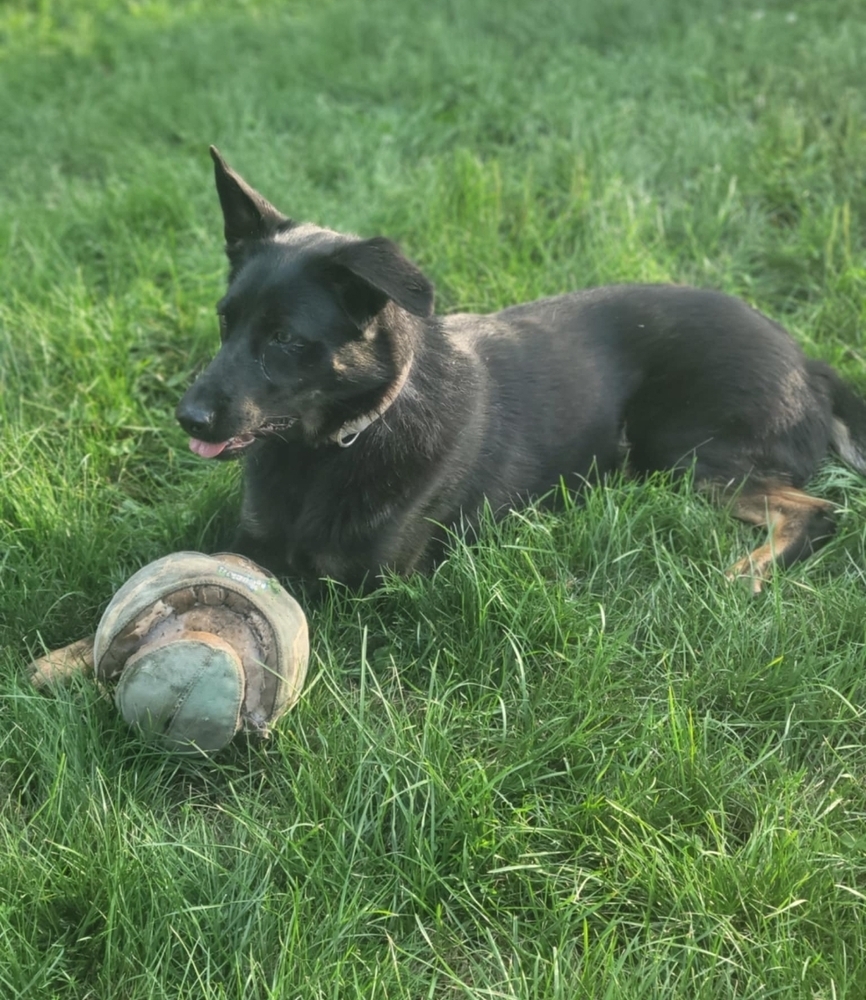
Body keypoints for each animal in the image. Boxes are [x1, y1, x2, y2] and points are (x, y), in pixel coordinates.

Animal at [176, 147, 864, 592]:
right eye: (224, 321)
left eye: (285, 339)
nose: (188, 417)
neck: (342, 440)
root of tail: (807, 362)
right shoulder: (250, 541)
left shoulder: (372, 585)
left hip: (683, 448)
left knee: (818, 512)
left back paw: (747, 574)